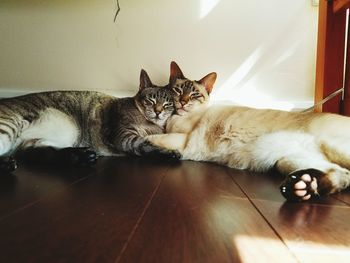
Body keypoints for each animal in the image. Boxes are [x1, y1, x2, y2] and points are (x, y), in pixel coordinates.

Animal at [0, 69, 179, 174]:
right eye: (150, 100)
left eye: (167, 104)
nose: (158, 111)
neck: (152, 125)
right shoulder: (125, 137)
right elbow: (145, 143)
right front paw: (169, 152)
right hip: (9, 127)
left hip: (47, 137)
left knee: (36, 153)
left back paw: (81, 156)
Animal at [147, 62, 350, 202]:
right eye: (177, 90)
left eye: (195, 95)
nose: (182, 102)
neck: (175, 118)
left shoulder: (184, 140)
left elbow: (150, 137)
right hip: (286, 161)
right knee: (342, 175)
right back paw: (302, 188)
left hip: (331, 147)